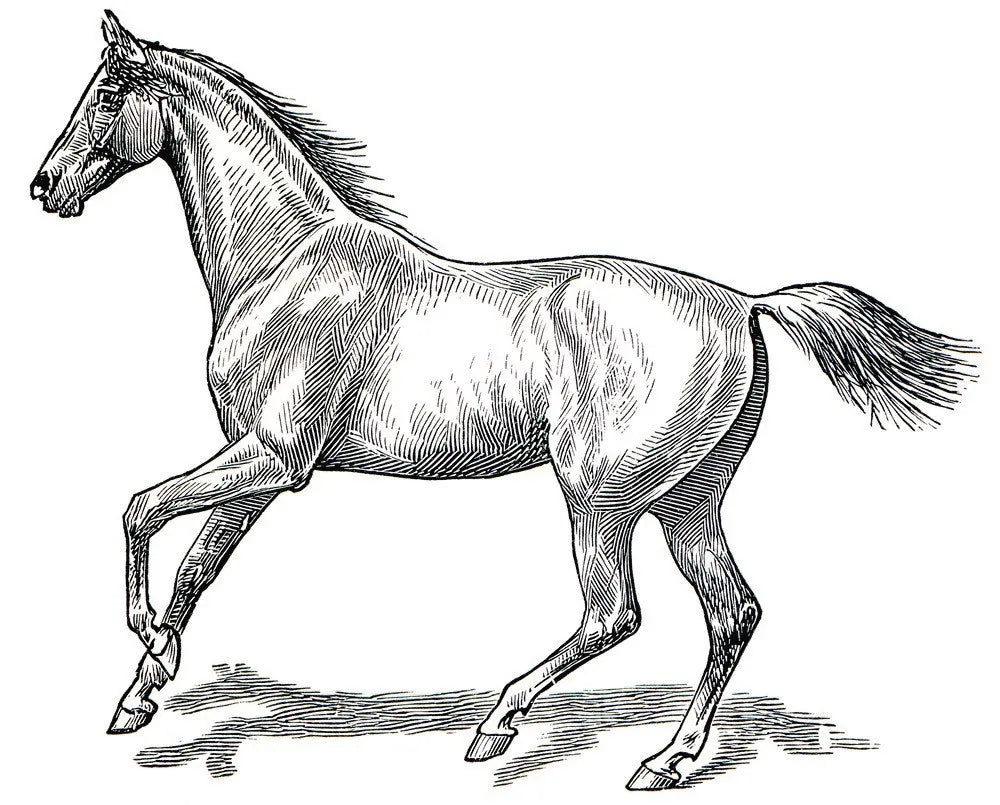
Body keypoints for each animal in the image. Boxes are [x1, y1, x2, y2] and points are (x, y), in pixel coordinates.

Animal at [31, 12, 976, 790]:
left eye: (107, 94)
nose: (45, 186)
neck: (287, 260)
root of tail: (743, 303)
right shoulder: (255, 467)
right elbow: (196, 564)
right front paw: (140, 692)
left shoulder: (273, 458)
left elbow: (140, 508)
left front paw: (146, 642)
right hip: (687, 501)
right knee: (731, 612)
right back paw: (665, 760)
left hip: (601, 497)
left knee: (615, 613)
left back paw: (499, 725)